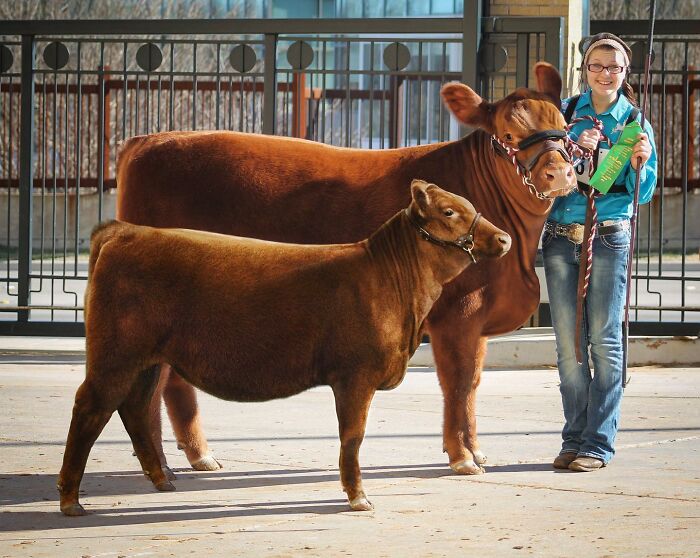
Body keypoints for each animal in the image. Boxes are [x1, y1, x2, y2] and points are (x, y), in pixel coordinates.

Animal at [58, 181, 511, 516]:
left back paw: (162, 480)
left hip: (147, 360)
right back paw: (71, 500)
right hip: (115, 354)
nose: (504, 237)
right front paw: (358, 497)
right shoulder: (355, 376)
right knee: (89, 409)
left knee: (133, 409)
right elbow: (353, 438)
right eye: (449, 212)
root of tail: (124, 231)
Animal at [115, 62, 576, 478]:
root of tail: (150, 139)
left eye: (565, 129)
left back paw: (196, 456)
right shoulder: (457, 314)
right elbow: (458, 384)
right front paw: (462, 457)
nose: (559, 173)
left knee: (171, 379)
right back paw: (164, 462)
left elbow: (474, 384)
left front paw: (476, 450)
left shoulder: (476, 321)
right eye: (508, 137)